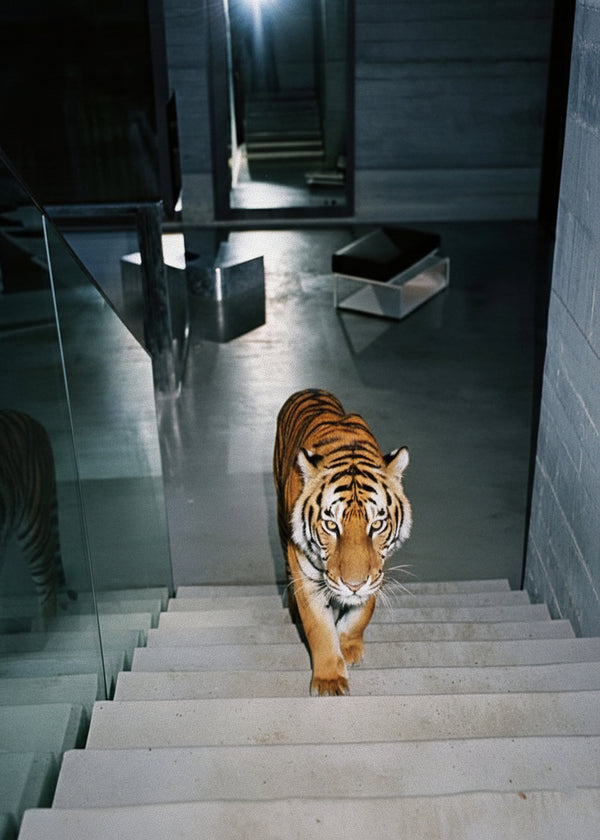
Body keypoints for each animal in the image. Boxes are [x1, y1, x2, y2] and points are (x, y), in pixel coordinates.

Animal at [273, 388, 412, 696]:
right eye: (331, 525)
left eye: (376, 525)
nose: (354, 585)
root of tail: (309, 390)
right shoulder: (304, 569)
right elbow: (319, 627)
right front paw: (329, 681)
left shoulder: (378, 568)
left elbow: (363, 611)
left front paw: (348, 646)